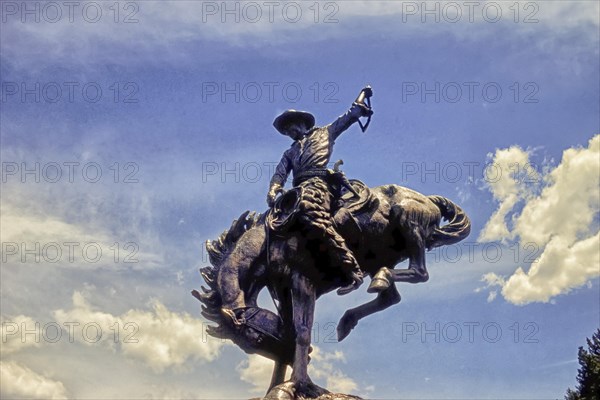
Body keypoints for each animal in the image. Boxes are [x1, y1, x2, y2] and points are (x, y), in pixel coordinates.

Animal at [192, 179, 468, 396]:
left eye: (255, 337)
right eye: (251, 345)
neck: (265, 242)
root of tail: (430, 201)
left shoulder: (303, 280)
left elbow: (302, 332)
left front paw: (298, 384)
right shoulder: (283, 292)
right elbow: (291, 332)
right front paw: (280, 386)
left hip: (406, 220)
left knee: (419, 272)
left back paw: (379, 280)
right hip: (381, 256)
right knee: (391, 297)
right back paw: (349, 319)